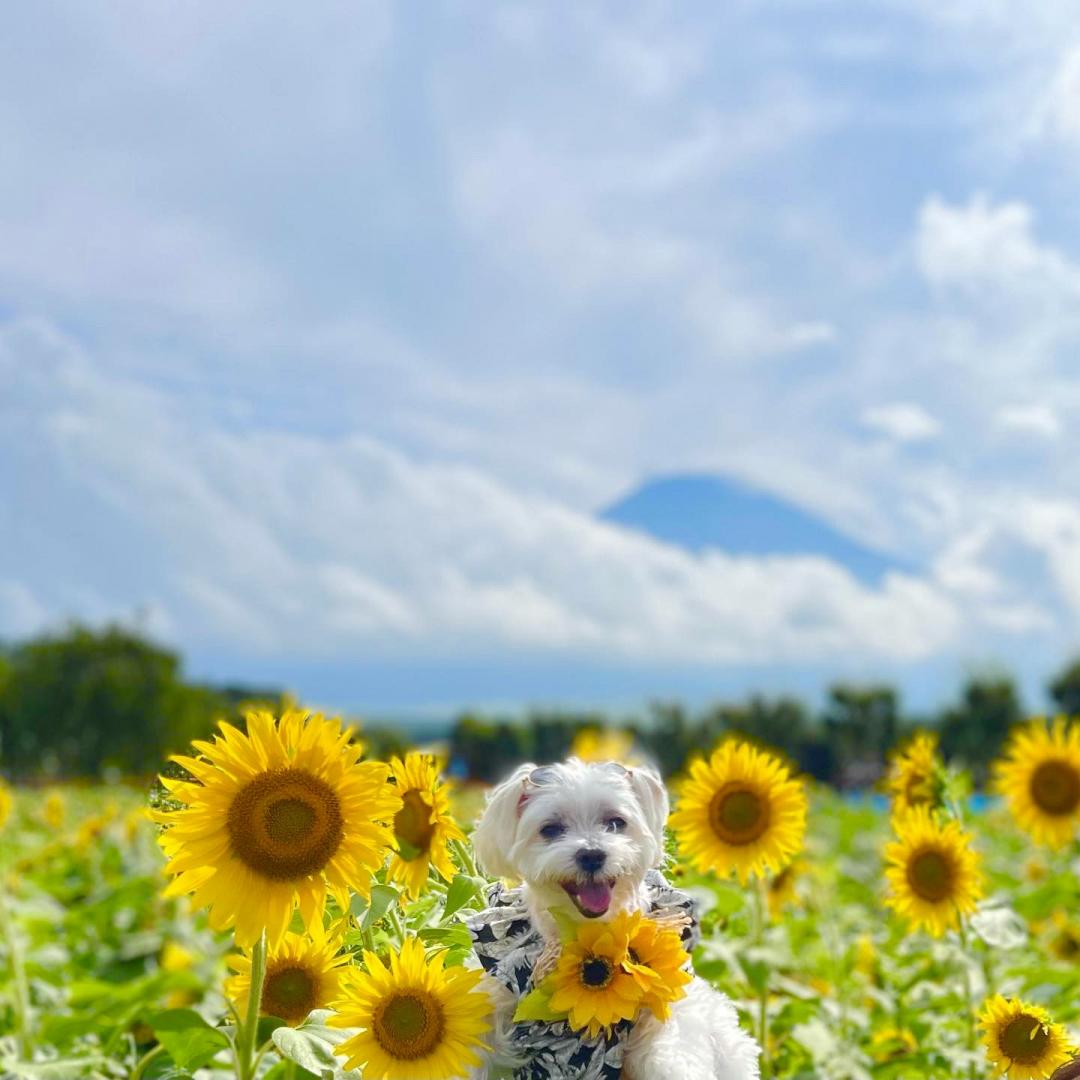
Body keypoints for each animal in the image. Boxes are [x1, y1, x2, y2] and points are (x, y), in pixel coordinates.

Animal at [466, 760, 760, 1080]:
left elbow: (671, 1049)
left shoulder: (668, 1008)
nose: (592, 854)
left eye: (616, 823)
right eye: (551, 829)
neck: (592, 936)